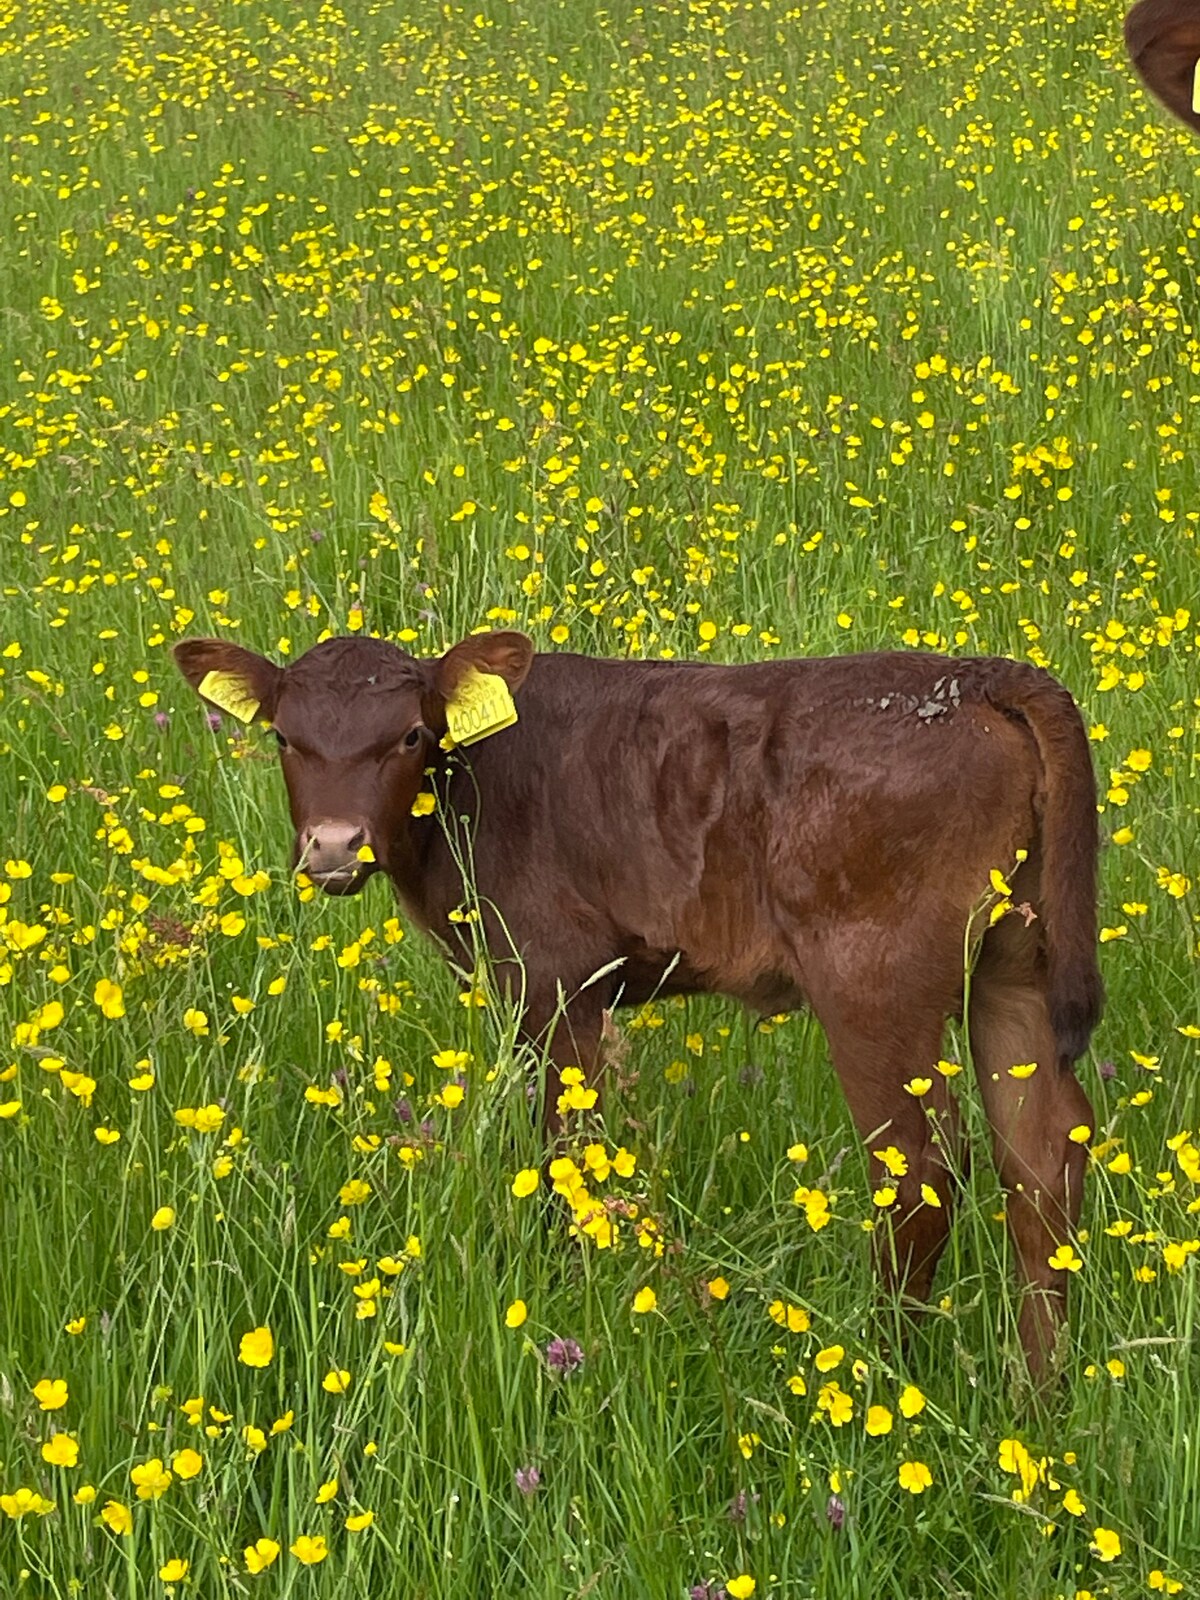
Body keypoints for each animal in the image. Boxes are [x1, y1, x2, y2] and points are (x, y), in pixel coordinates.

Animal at [173, 633, 1107, 1376]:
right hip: (1013, 967)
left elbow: (567, 1152)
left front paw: (569, 1302)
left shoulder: (555, 985)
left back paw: (886, 1375)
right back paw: (1038, 1400)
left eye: (409, 734)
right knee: (1040, 1155)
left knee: (918, 1170)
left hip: (874, 983)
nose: (333, 847)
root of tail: (979, 675)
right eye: (285, 737)